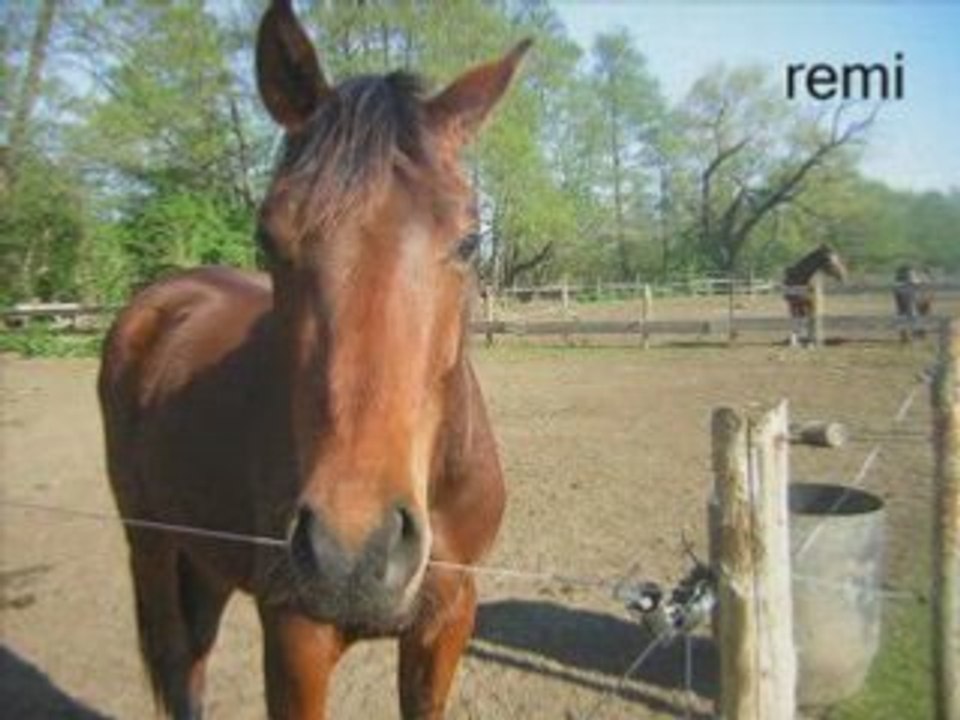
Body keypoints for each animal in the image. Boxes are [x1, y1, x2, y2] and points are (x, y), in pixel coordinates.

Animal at [98, 2, 531, 717]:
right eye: (267, 236)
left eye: (470, 240)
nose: (353, 553)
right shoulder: (295, 637)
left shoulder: (447, 621)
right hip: (150, 544)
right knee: (178, 663)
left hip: (205, 554)